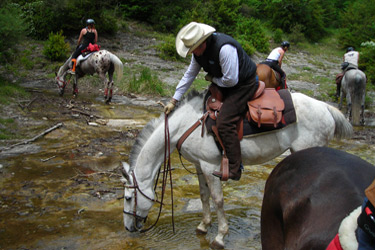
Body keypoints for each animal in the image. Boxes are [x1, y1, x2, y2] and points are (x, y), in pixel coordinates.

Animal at [120, 91, 352, 249]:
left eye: (129, 198)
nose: (128, 228)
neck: (185, 125)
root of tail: (326, 108)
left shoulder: (210, 166)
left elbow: (217, 199)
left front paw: (220, 237)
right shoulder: (199, 165)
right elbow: (203, 196)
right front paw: (203, 226)